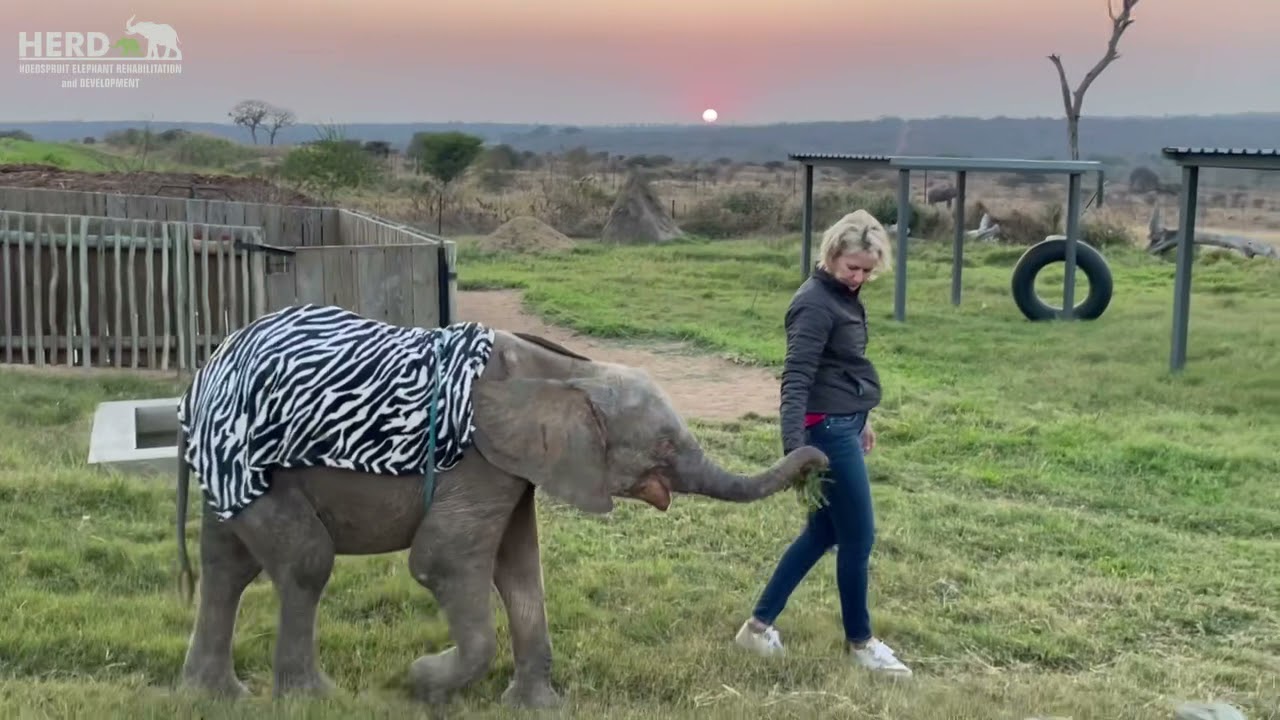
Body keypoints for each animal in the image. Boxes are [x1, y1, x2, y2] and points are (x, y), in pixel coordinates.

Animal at [173, 326, 829, 708]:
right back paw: (312, 699)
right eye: (664, 446)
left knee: (227, 567)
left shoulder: (514, 466)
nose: (819, 460)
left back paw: (215, 696)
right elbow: (443, 562)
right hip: (247, 462)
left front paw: (537, 707)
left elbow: (520, 569)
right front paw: (420, 683)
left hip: (230, 472)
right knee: (305, 562)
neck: (569, 370)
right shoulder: (477, 459)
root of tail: (199, 382)